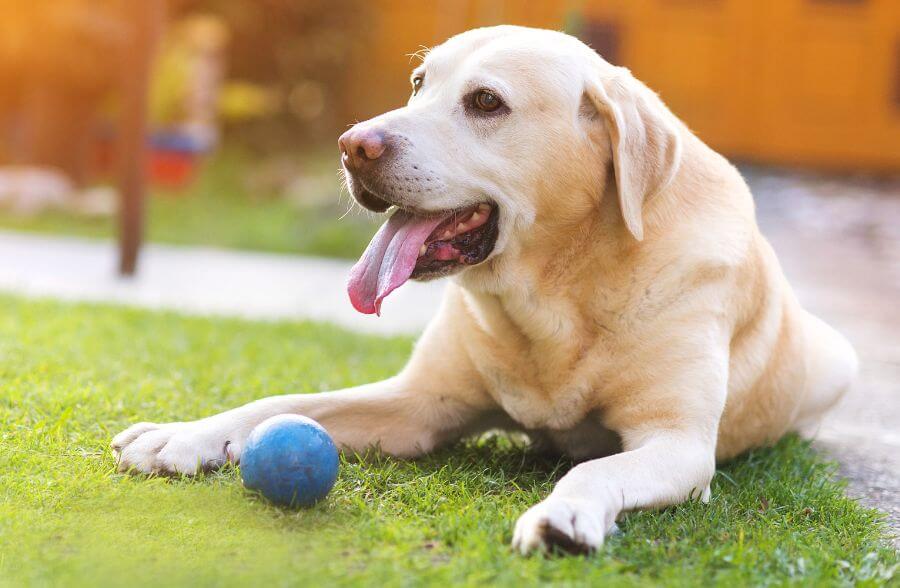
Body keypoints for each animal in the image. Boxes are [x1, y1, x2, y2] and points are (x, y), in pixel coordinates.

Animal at [112, 25, 856, 552]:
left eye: (486, 103)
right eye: (418, 83)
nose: (352, 145)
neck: (555, 293)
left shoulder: (676, 443)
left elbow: (597, 469)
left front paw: (564, 513)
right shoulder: (416, 407)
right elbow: (282, 401)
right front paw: (183, 435)